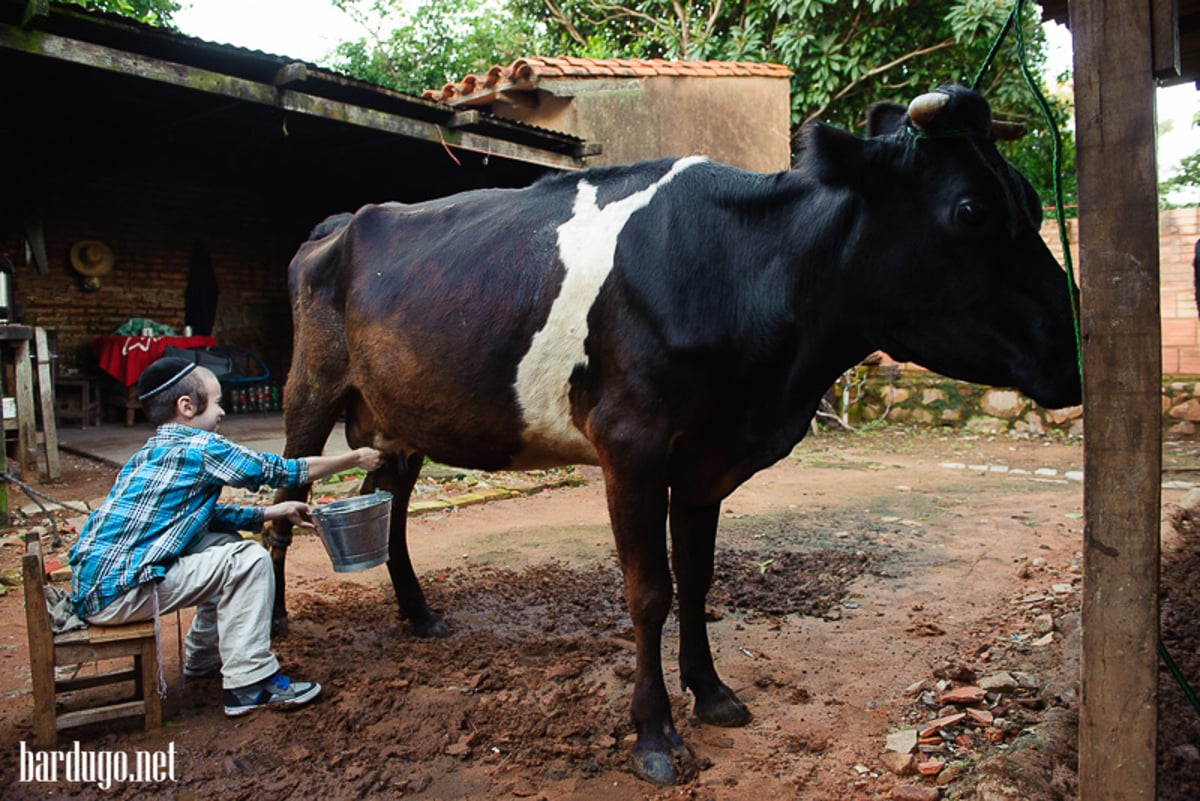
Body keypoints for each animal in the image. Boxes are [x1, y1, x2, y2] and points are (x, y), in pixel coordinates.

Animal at [267, 86, 1084, 781]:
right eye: (971, 209)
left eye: (1031, 198)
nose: (1073, 354)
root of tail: (340, 222)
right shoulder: (630, 442)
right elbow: (648, 590)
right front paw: (655, 735)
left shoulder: (706, 454)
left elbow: (697, 575)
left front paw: (713, 691)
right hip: (309, 389)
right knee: (281, 503)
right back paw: (276, 626)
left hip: (401, 413)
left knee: (392, 500)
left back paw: (418, 613)